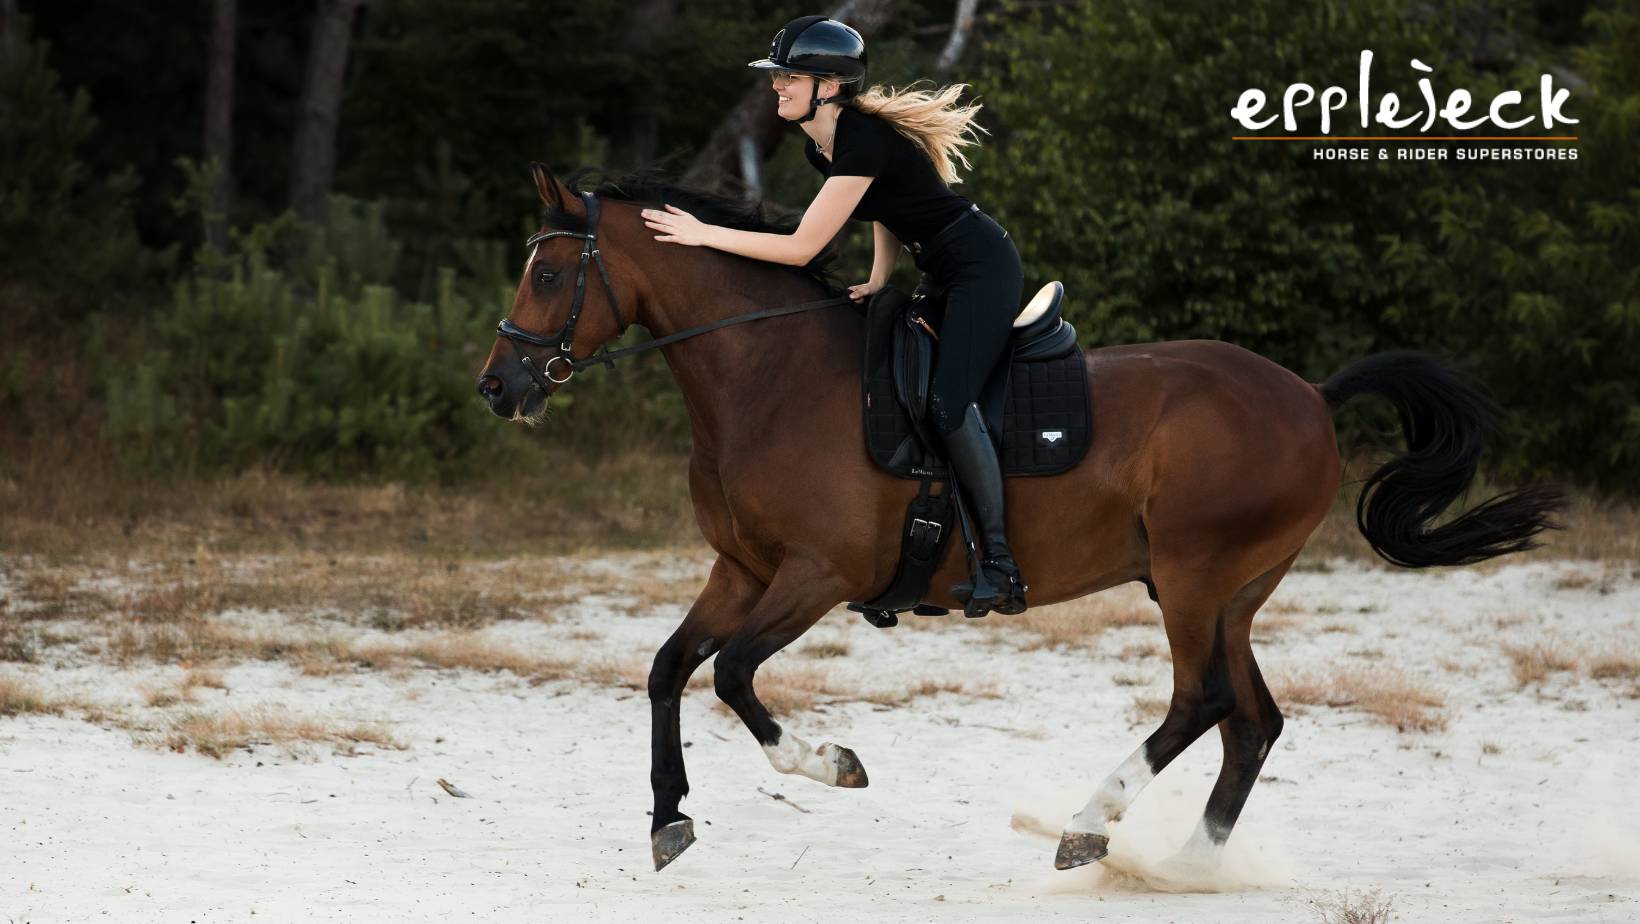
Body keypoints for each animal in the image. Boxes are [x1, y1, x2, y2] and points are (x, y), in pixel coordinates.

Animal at [472, 160, 1561, 873]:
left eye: (550, 274)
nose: (496, 388)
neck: (765, 379)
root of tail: (1311, 395)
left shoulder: (815, 576)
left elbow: (734, 675)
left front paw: (834, 765)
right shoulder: (740, 570)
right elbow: (669, 668)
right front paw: (668, 817)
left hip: (1196, 576)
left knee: (1201, 703)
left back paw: (1090, 825)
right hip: (1229, 591)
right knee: (1251, 722)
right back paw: (1190, 869)